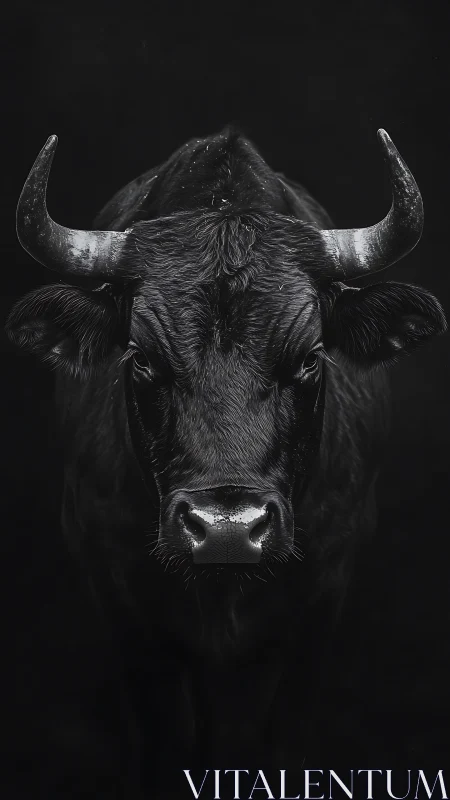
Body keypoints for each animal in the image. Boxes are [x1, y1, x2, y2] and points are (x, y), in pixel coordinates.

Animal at [6, 127, 446, 792]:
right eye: (141, 358)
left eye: (310, 357)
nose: (227, 530)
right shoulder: (114, 587)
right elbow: (164, 740)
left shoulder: (325, 590)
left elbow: (278, 741)